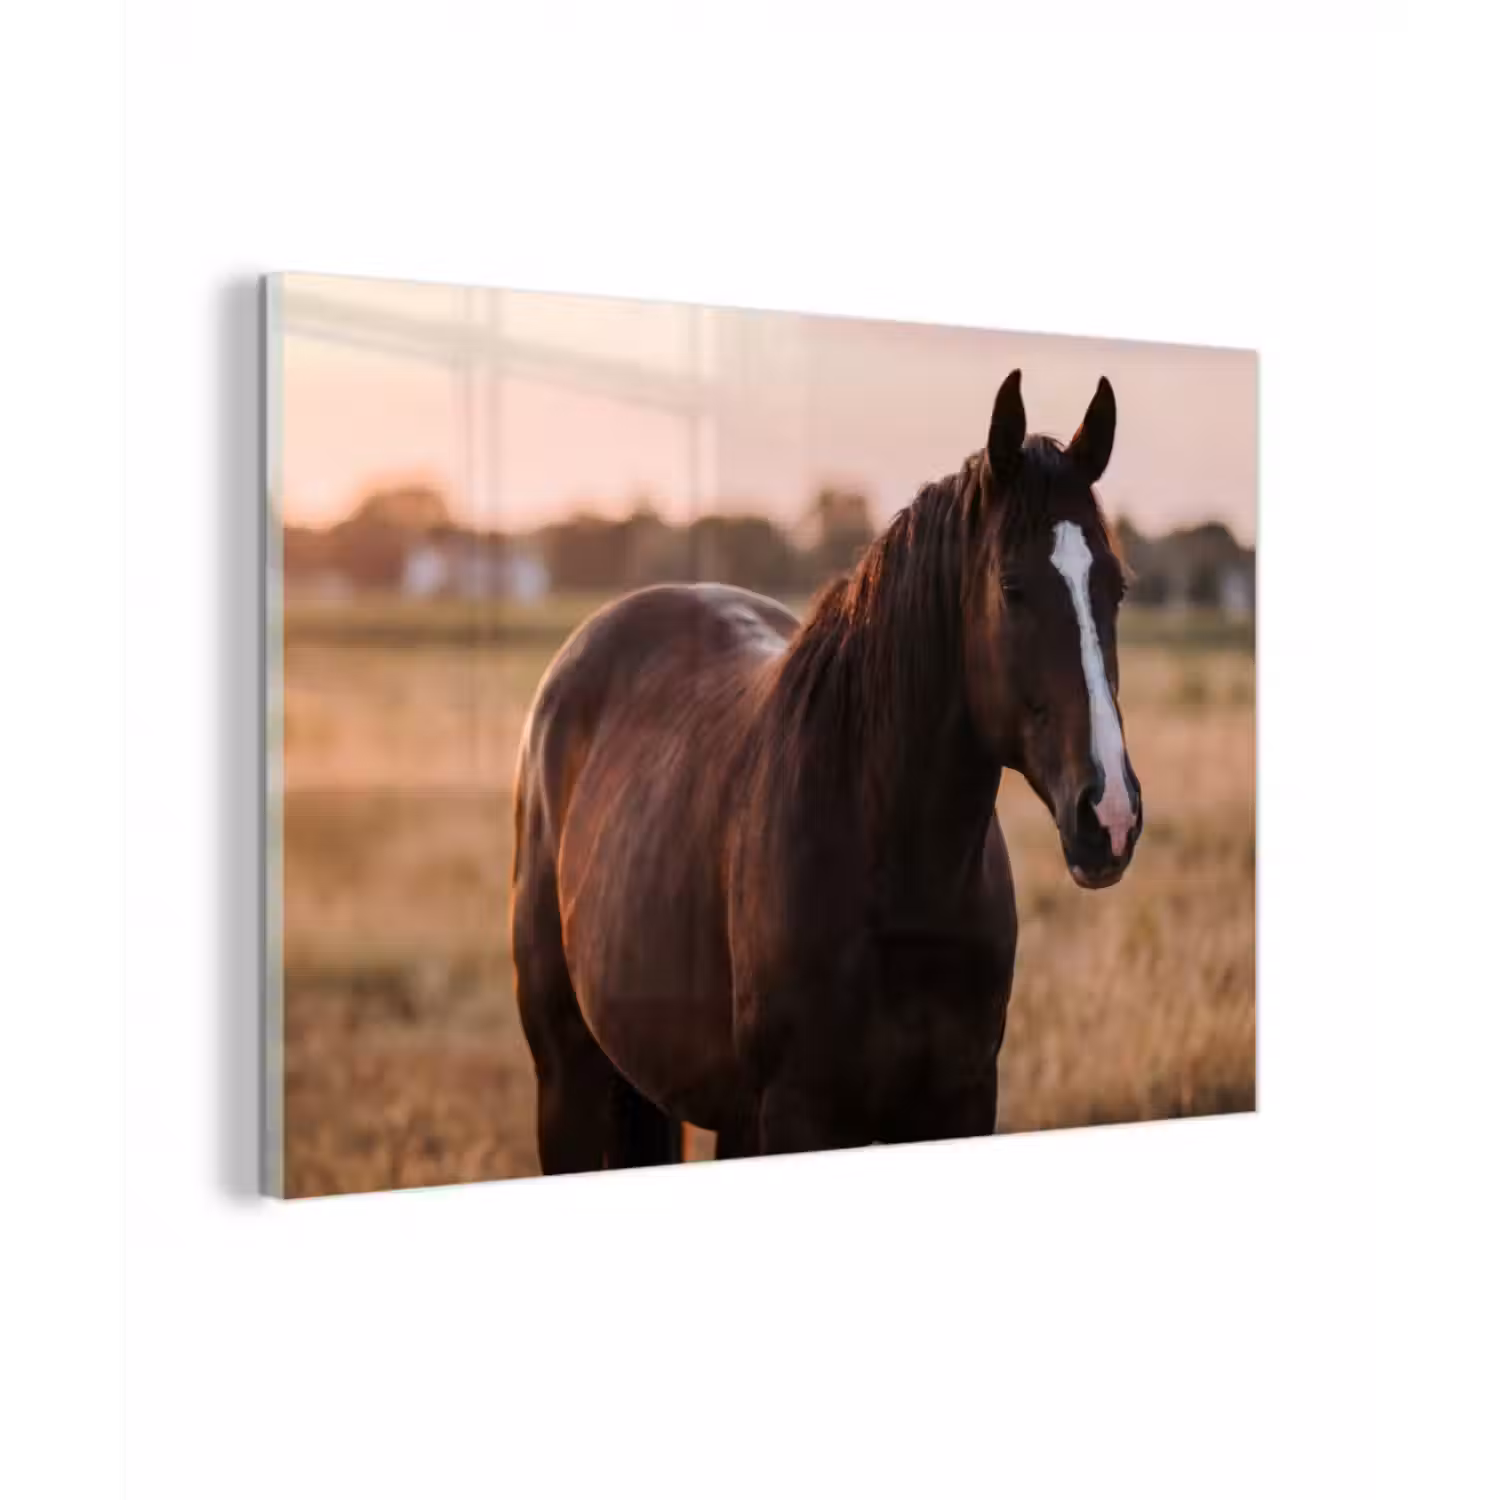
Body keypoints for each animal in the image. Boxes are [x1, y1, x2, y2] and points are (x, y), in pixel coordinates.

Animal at [509, 370, 1143, 1172]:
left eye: (1116, 587)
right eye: (1011, 587)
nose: (1110, 814)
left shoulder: (961, 1102)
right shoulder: (795, 1115)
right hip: (568, 1080)